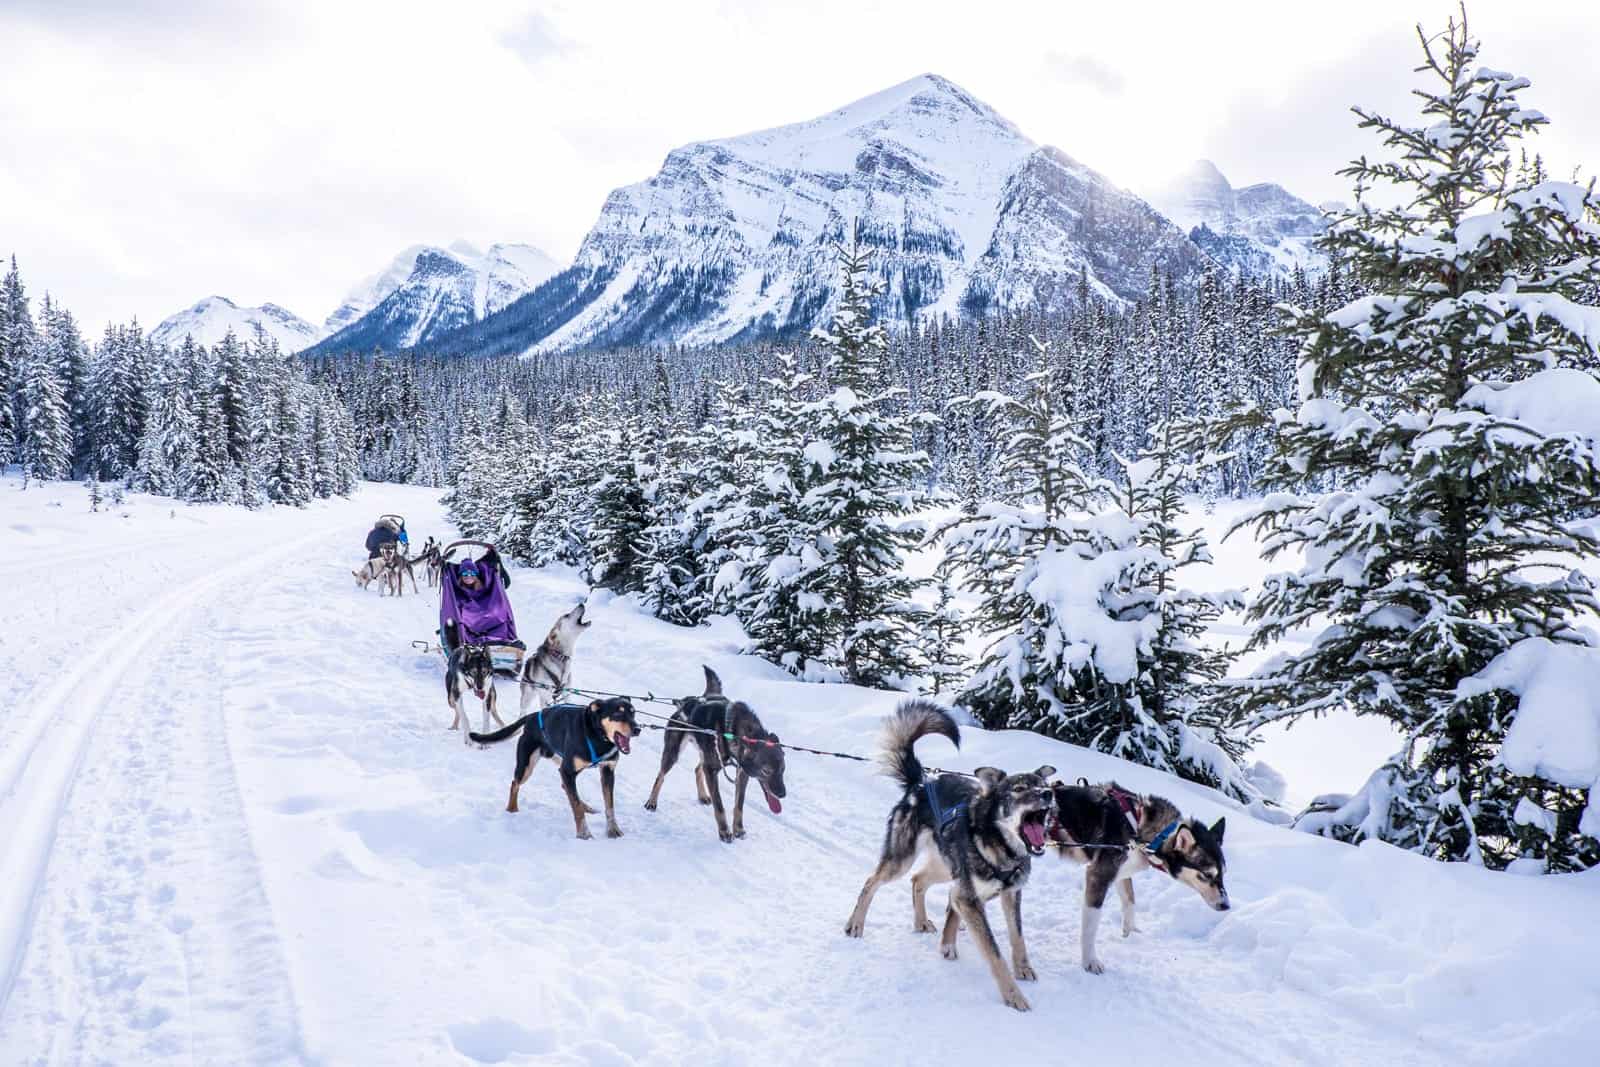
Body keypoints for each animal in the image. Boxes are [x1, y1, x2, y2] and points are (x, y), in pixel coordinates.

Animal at [640, 668, 784, 844]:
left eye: (783, 770)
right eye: (767, 771)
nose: (783, 794)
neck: (733, 730)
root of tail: (688, 701)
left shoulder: (741, 773)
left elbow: (739, 805)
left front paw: (738, 829)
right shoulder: (712, 770)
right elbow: (719, 805)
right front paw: (724, 832)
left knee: (697, 769)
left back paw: (702, 795)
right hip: (673, 752)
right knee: (661, 776)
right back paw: (652, 801)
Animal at [844, 703, 1056, 1017]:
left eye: (1041, 784)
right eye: (1018, 789)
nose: (1048, 793)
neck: (999, 845)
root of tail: (920, 783)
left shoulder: (1008, 894)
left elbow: (1017, 936)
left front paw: (1023, 968)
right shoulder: (967, 895)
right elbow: (994, 952)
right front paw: (1013, 995)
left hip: (945, 867)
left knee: (918, 880)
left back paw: (921, 921)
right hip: (902, 860)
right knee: (872, 881)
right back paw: (856, 924)